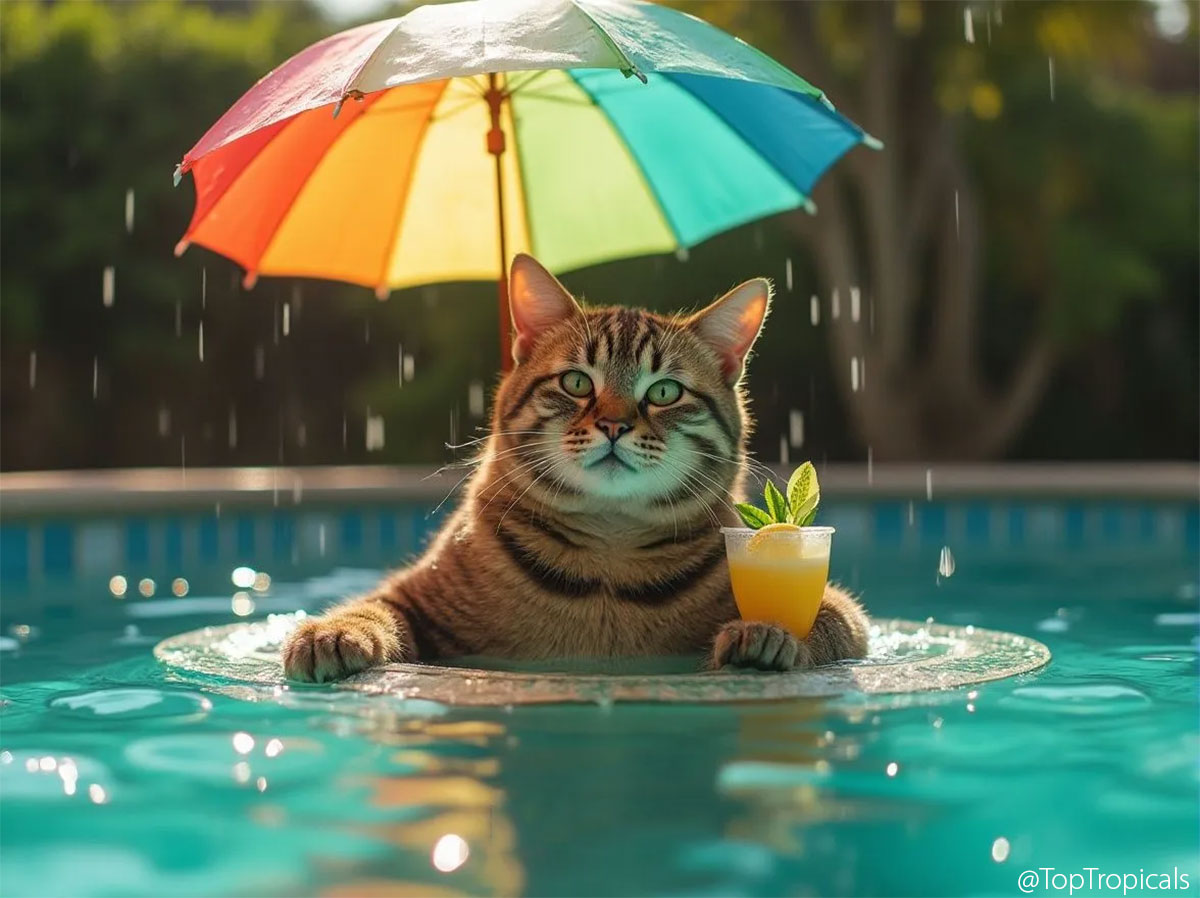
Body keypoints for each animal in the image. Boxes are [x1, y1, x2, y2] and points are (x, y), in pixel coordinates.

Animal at [286, 252, 878, 681]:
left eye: (665, 392)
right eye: (576, 382)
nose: (614, 424)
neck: (608, 563)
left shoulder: (842, 613)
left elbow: (826, 620)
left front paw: (773, 636)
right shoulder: (412, 594)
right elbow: (370, 607)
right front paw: (334, 632)